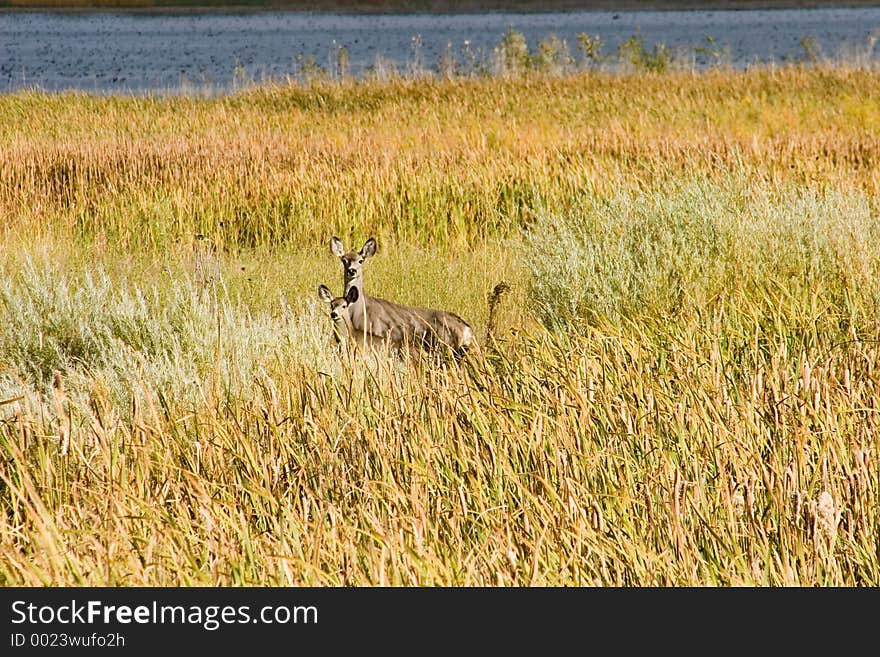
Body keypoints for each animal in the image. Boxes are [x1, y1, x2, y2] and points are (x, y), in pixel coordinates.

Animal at [328, 236, 474, 356]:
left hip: (446, 347)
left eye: (361, 260)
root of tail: (467, 329)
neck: (359, 309)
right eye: (344, 260)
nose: (352, 271)